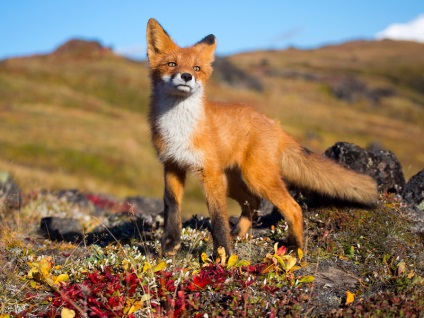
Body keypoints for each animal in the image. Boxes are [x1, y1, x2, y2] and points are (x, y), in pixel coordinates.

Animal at [146, 17, 378, 258]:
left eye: (196, 68)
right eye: (172, 64)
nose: (186, 76)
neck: (179, 129)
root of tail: (275, 124)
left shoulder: (209, 174)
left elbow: (217, 218)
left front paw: (223, 256)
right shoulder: (172, 164)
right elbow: (172, 206)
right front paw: (170, 244)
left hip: (254, 177)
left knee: (293, 208)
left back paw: (296, 249)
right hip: (234, 182)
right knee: (254, 202)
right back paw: (240, 233)